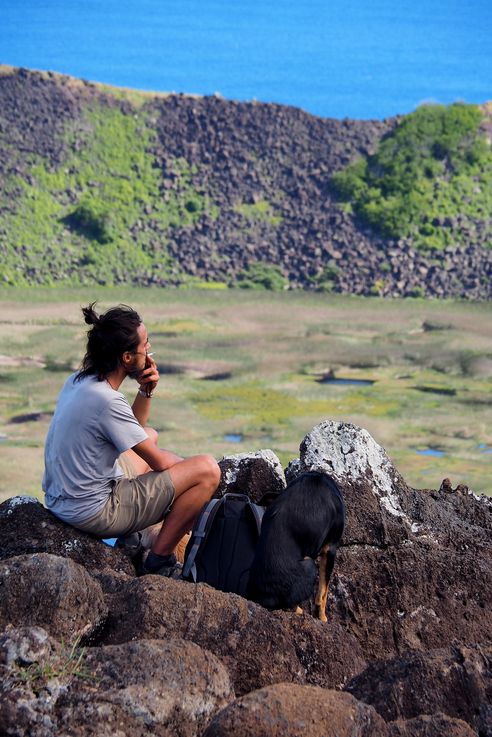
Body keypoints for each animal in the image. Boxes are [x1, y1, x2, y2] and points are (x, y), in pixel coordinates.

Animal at [248, 468, 344, 620]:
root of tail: (265, 598)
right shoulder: (330, 548)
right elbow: (323, 592)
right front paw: (322, 617)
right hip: (310, 564)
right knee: (290, 606)